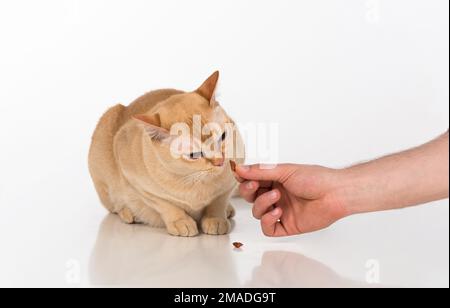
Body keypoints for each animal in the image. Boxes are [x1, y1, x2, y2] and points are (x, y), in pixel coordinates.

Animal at [86, 71, 244, 236]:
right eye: (194, 155)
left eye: (223, 136)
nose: (220, 161)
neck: (194, 178)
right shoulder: (140, 185)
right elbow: (167, 205)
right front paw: (181, 221)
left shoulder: (230, 183)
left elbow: (219, 201)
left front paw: (216, 219)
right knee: (115, 207)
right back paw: (129, 214)